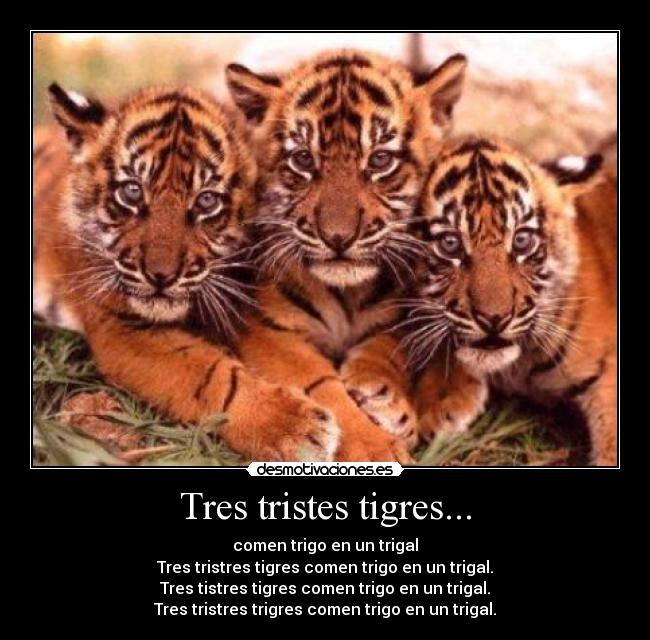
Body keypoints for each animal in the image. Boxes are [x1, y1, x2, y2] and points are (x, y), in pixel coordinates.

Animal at [33, 84, 344, 462]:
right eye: (132, 191)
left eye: (207, 201)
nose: (161, 276)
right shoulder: (122, 327)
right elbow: (212, 376)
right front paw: (296, 429)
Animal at [224, 49, 468, 461]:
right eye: (303, 160)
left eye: (381, 160)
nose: (338, 237)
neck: (347, 293)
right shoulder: (268, 329)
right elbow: (321, 386)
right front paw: (374, 449)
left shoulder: (401, 311)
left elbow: (389, 347)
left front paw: (385, 395)